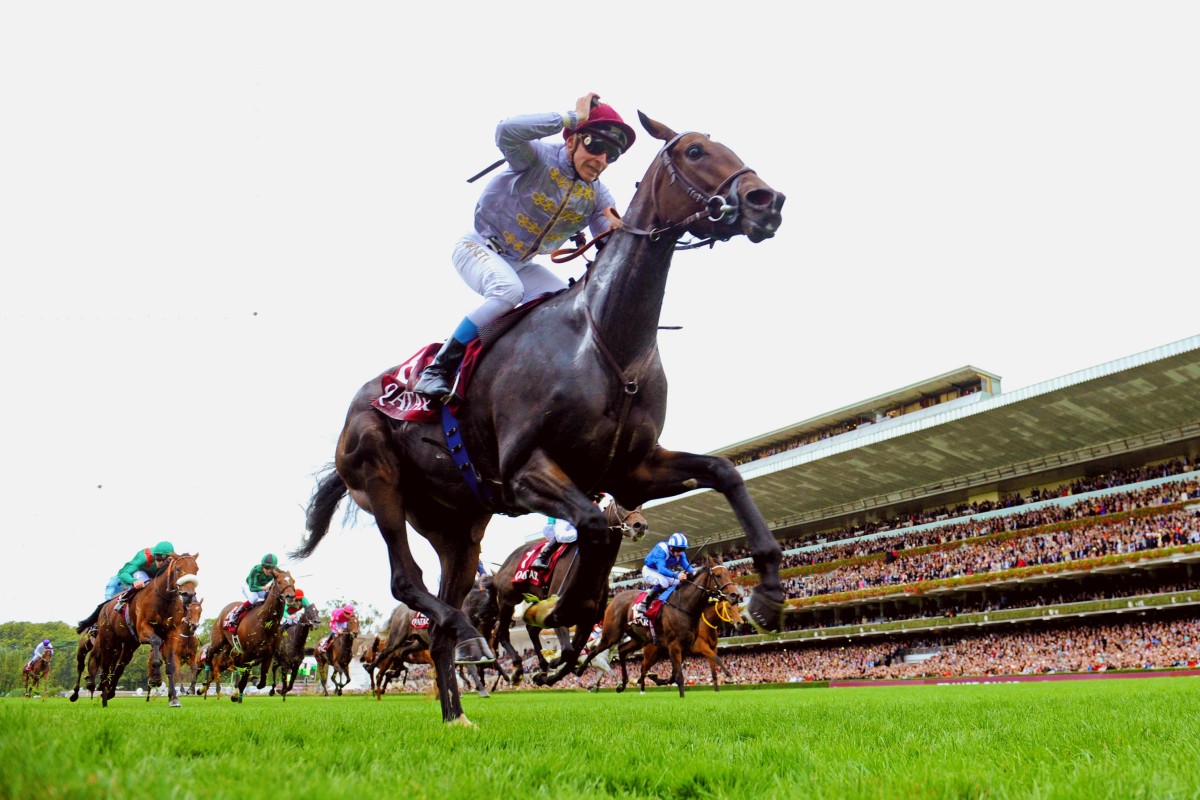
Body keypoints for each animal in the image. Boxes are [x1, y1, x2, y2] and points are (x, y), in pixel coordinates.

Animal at [74, 554, 200, 710]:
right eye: (178, 568)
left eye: (196, 569)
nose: (188, 594)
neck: (163, 598)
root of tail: (105, 605)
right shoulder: (143, 630)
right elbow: (156, 643)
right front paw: (156, 678)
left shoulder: (172, 634)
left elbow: (171, 666)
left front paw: (174, 699)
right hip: (106, 640)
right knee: (101, 665)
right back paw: (99, 695)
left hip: (128, 644)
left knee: (119, 666)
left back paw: (109, 692)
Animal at [202, 568, 294, 700]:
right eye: (279, 582)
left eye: (293, 581)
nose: (290, 596)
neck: (264, 623)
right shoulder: (247, 653)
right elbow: (244, 676)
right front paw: (236, 695)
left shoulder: (268, 654)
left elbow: (261, 682)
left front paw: (253, 682)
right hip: (218, 641)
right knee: (209, 654)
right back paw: (203, 684)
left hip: (229, 647)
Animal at [489, 501, 648, 681]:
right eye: (621, 505)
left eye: (640, 506)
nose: (640, 526)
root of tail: (500, 568)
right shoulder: (557, 612)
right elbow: (567, 651)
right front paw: (553, 663)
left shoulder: (586, 621)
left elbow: (572, 656)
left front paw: (551, 673)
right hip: (507, 601)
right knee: (502, 634)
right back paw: (518, 667)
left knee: (531, 630)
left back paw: (542, 666)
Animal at [576, 561, 734, 695]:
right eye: (718, 575)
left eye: (729, 573)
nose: (735, 595)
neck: (685, 606)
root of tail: (614, 599)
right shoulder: (677, 645)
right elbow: (680, 674)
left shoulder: (685, 647)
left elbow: (675, 675)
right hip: (613, 634)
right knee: (595, 651)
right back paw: (580, 671)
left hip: (641, 640)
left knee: (622, 651)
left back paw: (624, 683)